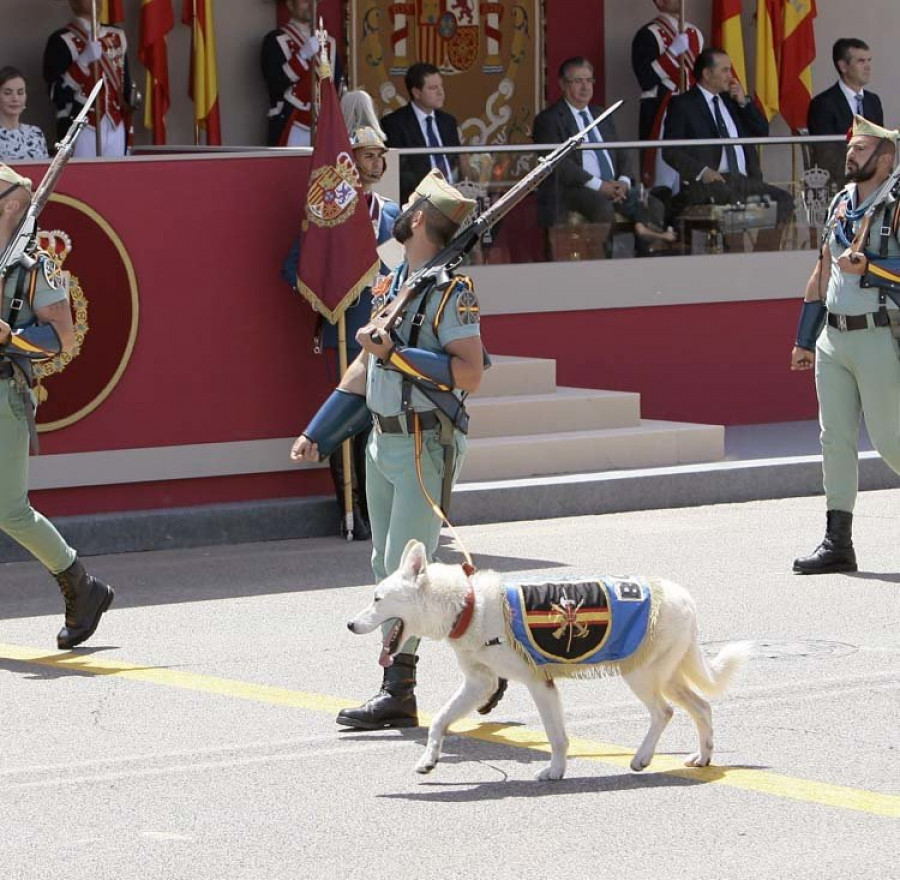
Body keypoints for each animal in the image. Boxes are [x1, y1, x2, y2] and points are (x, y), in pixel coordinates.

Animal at [348, 540, 748, 780]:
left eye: (377, 598)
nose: (349, 624)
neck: (469, 604)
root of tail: (684, 596)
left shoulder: (538, 683)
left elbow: (556, 736)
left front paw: (554, 772)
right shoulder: (480, 684)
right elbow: (439, 722)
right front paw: (429, 759)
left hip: (642, 676)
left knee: (664, 712)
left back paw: (643, 758)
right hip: (667, 675)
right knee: (702, 707)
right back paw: (703, 758)